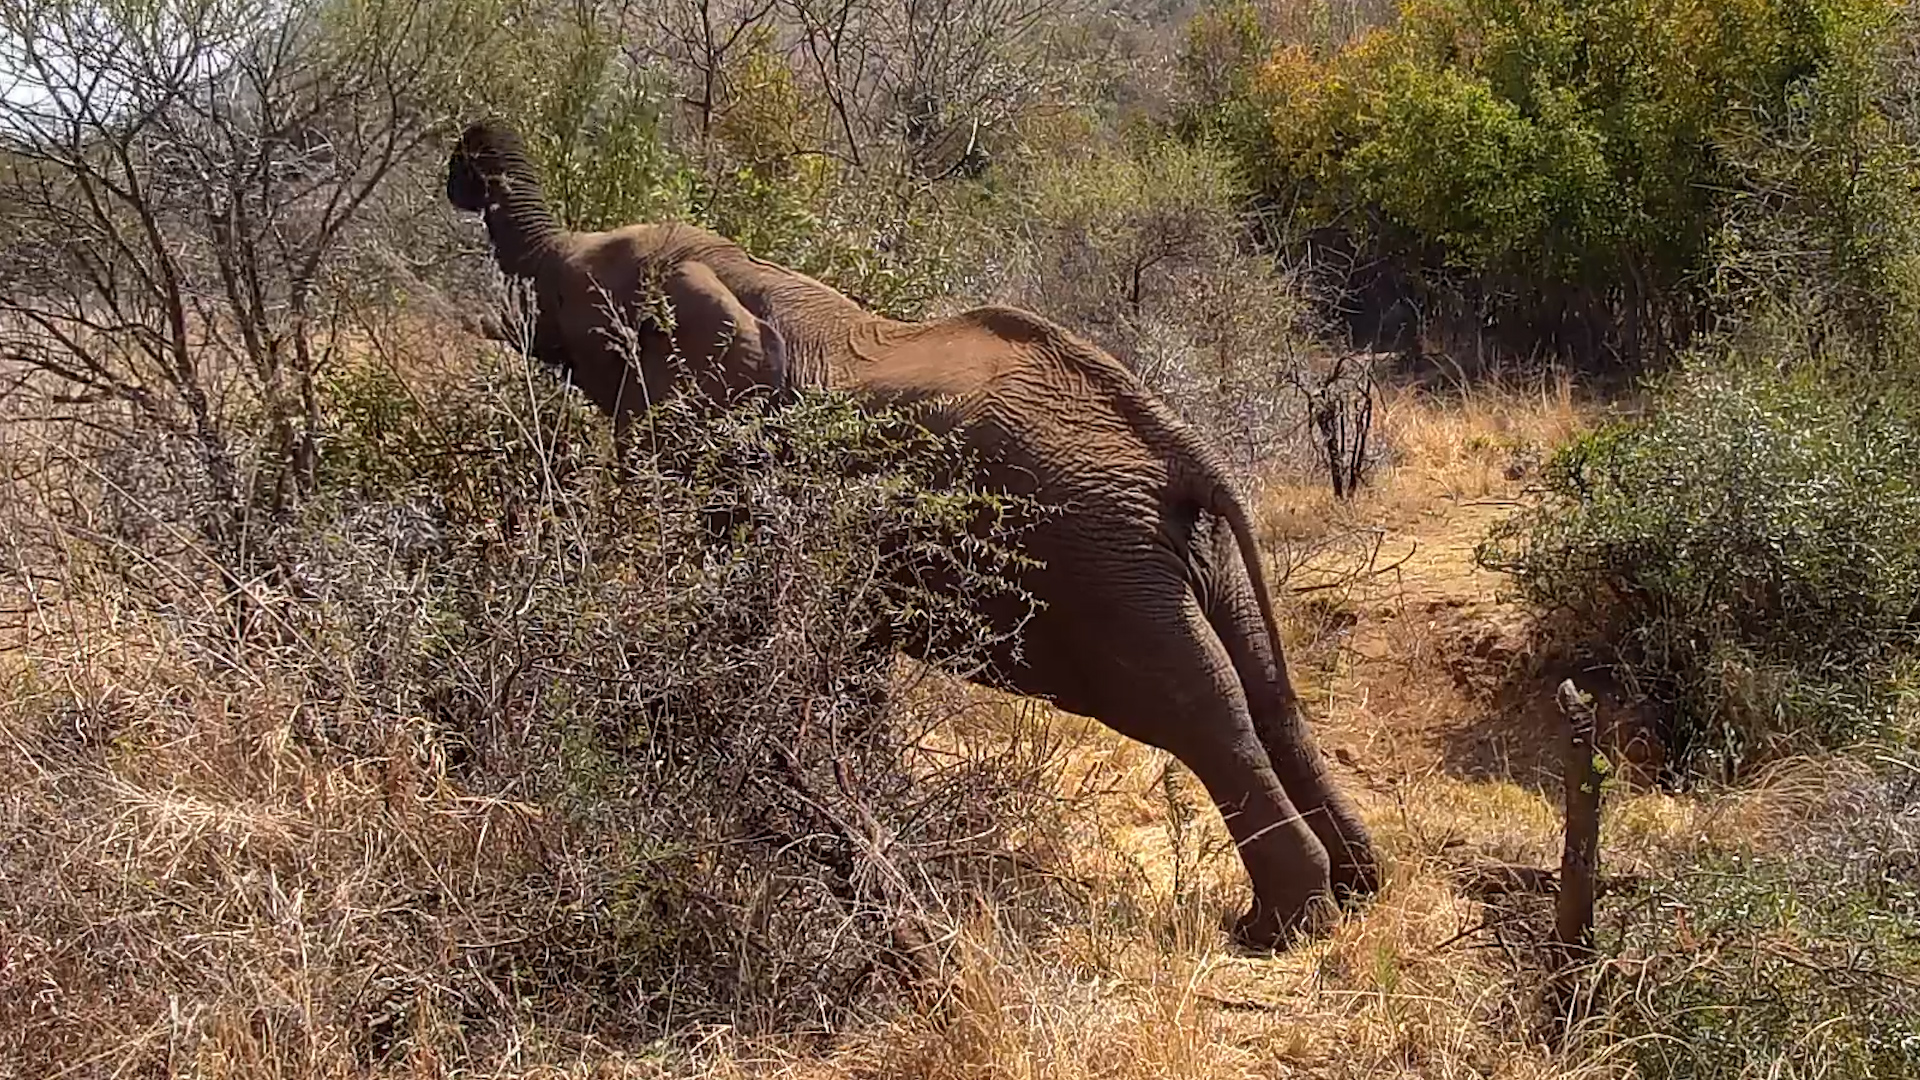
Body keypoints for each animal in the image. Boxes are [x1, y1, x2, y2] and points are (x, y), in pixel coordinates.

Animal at [444, 120, 1381, 949]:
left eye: (574, 292)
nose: (468, 159)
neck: (742, 272)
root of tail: (1179, 446)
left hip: (1107, 565)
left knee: (1196, 712)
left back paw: (1276, 930)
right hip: (1188, 554)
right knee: (1267, 691)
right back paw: (1359, 891)